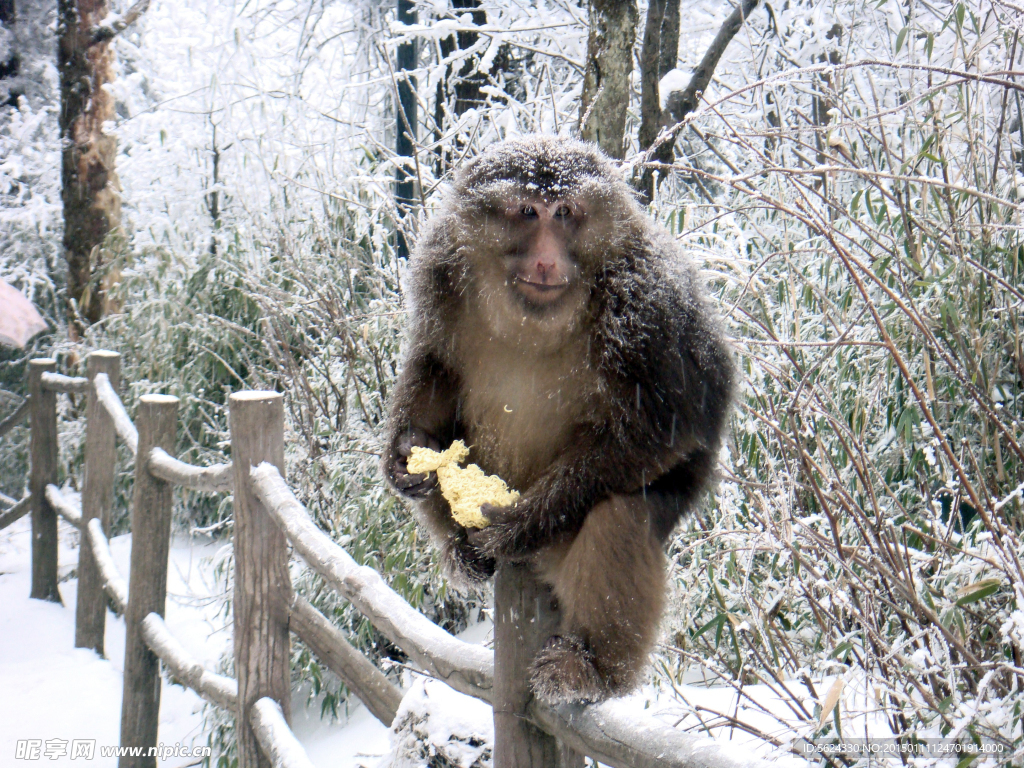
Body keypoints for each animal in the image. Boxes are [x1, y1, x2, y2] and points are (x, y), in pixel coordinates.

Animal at [385, 137, 737, 704]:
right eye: (529, 212)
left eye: (567, 213)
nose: (547, 259)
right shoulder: (441, 266)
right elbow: (437, 362)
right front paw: (404, 453)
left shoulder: (650, 306)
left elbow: (668, 425)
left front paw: (522, 523)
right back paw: (462, 552)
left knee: (621, 512)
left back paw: (590, 666)